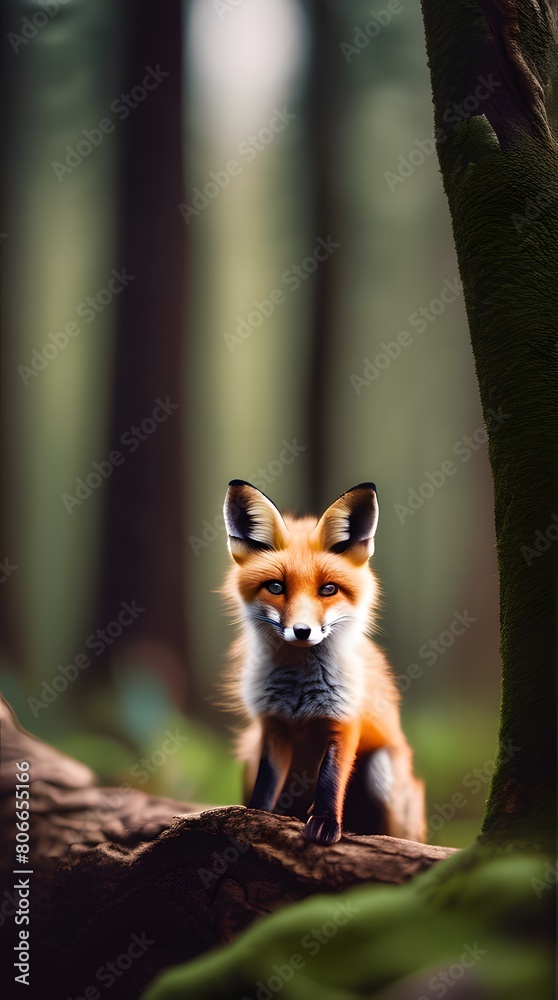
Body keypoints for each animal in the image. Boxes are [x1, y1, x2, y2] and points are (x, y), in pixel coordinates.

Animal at [221, 479, 426, 846]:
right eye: (276, 587)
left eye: (328, 590)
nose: (302, 631)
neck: (300, 692)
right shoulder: (273, 726)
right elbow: (266, 784)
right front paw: (254, 815)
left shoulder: (344, 720)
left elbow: (330, 779)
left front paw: (326, 823)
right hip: (249, 747)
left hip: (383, 771)